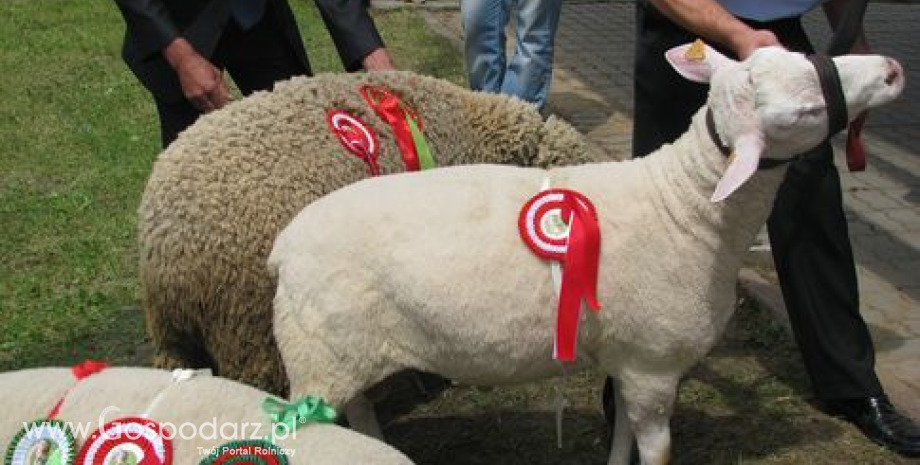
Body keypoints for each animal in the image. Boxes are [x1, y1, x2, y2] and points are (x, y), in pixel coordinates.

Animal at [268, 41, 904, 462]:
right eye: (806, 113)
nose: (894, 69)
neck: (685, 207)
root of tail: (284, 244)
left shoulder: (631, 359)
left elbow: (622, 436)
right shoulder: (655, 366)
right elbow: (657, 449)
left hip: (339, 356)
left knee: (357, 412)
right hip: (317, 357)